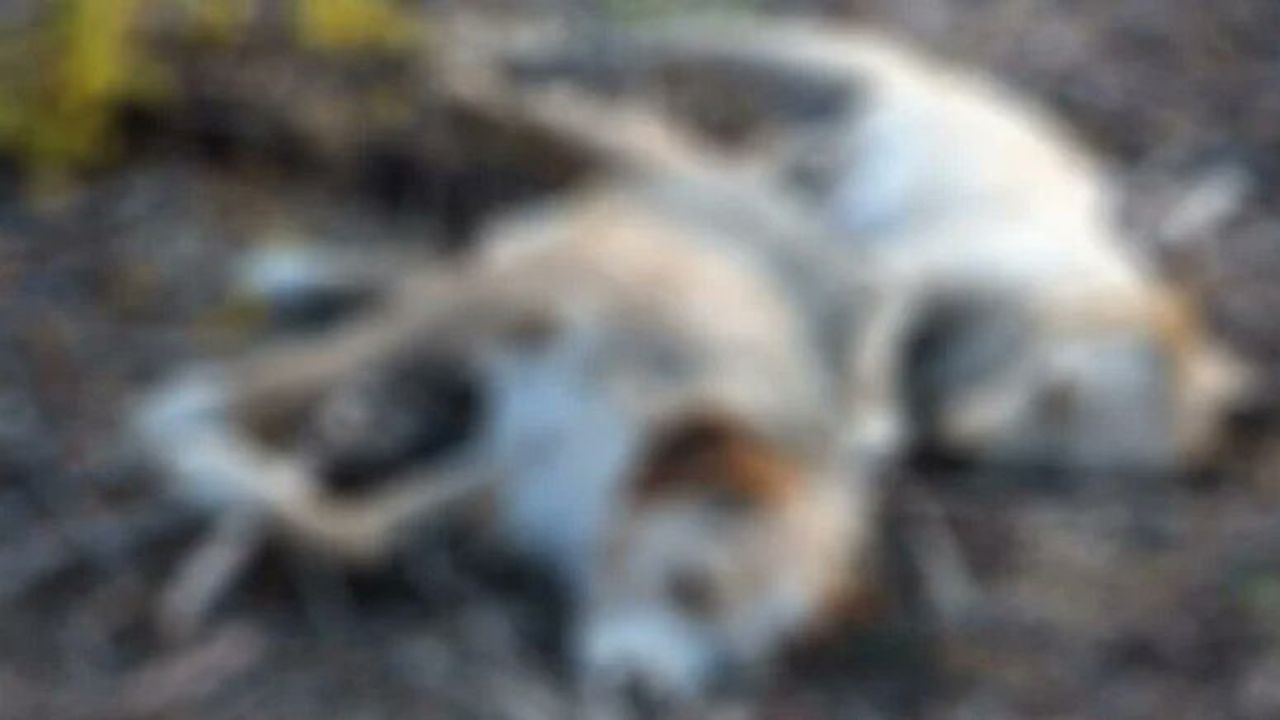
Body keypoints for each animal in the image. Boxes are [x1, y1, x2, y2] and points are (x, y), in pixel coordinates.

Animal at [134, 173, 881, 707]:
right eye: (690, 587)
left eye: (732, 664)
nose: (648, 697)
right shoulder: (520, 309)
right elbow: (305, 372)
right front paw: (194, 420)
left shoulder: (501, 476)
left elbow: (357, 534)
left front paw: (226, 477)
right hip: (514, 272)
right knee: (424, 275)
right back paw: (311, 281)